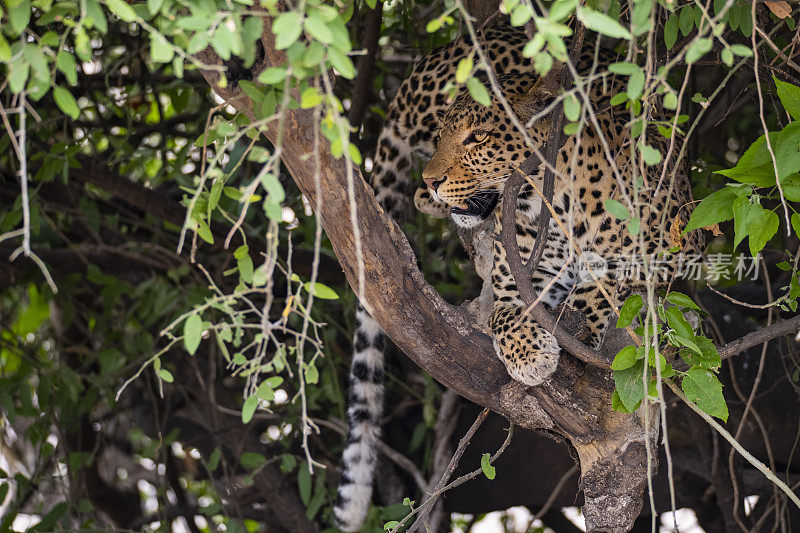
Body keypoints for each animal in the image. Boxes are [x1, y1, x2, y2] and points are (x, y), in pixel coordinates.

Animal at [332, 22, 700, 528]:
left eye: (478, 137)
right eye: (446, 135)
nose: (430, 179)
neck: (557, 202)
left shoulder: (673, 244)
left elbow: (606, 285)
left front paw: (577, 324)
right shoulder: (523, 276)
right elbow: (505, 313)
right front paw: (531, 355)